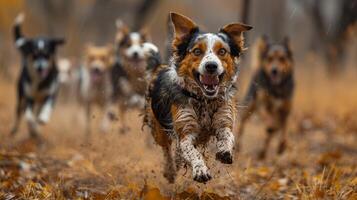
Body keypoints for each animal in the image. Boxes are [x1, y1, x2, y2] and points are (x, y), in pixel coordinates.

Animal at [144, 12, 250, 183]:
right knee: (166, 149)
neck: (204, 101)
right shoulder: (185, 131)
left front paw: (225, 151)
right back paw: (170, 171)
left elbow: (228, 135)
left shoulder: (224, 119)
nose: (211, 66)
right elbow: (192, 151)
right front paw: (200, 170)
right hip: (158, 127)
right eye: (197, 51)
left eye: (222, 51)